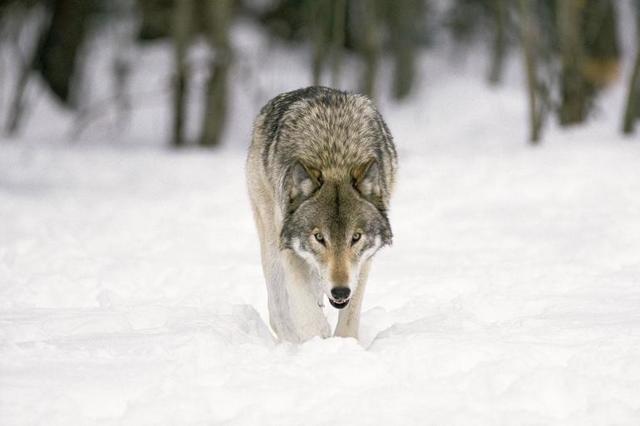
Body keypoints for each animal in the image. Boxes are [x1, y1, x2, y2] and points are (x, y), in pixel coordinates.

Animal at [245, 86, 396, 342]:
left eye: (355, 237)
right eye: (319, 237)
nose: (340, 291)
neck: (334, 157)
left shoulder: (363, 261)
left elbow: (349, 320)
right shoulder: (288, 247)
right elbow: (307, 315)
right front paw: (318, 341)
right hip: (270, 240)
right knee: (277, 310)